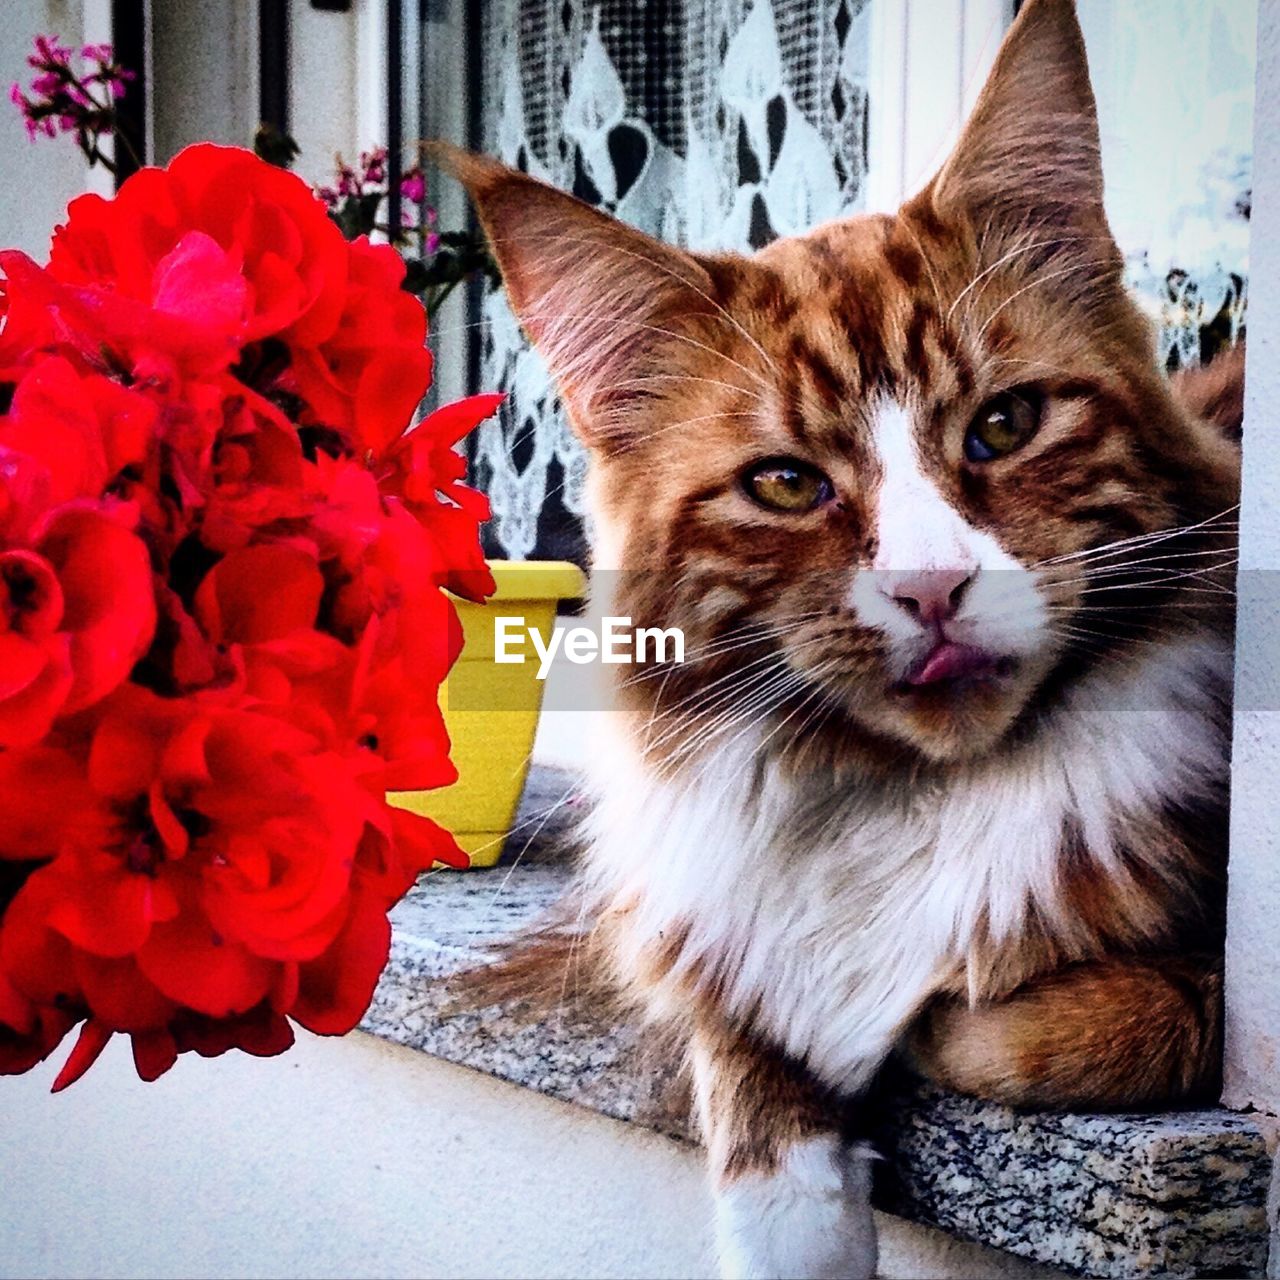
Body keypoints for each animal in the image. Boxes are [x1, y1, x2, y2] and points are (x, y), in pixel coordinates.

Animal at [437, 0, 1239, 1274]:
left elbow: (1046, 1028)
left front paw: (945, 1023)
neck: (904, 793)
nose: (929, 587)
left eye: (1003, 424)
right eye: (782, 483)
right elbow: (761, 1133)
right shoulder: (723, 940)